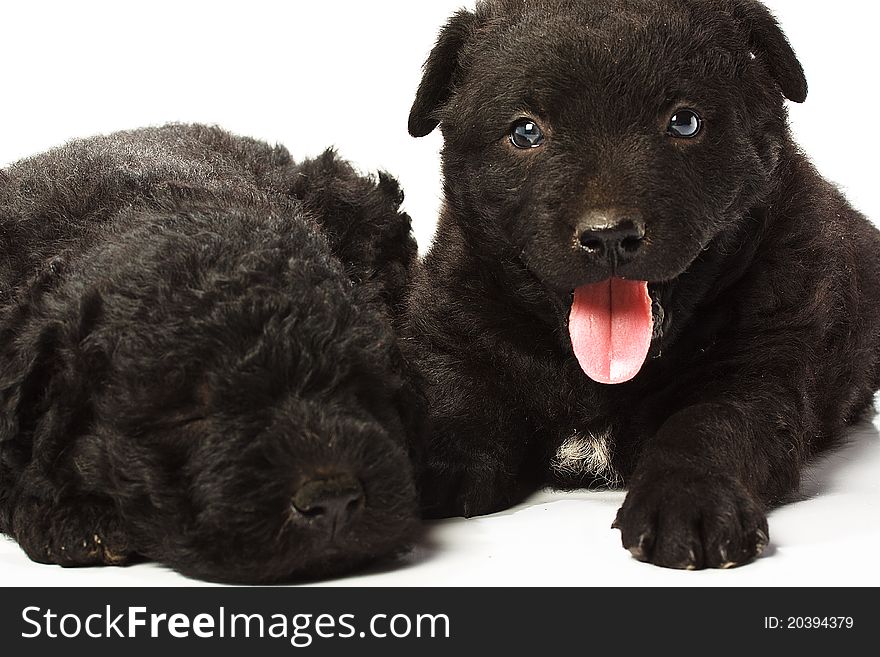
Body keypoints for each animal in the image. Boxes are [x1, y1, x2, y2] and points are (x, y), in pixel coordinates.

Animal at [408, 0, 880, 568]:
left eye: (684, 122)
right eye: (525, 133)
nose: (610, 235)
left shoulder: (761, 371)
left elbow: (706, 426)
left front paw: (687, 499)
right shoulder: (453, 329)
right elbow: (454, 402)